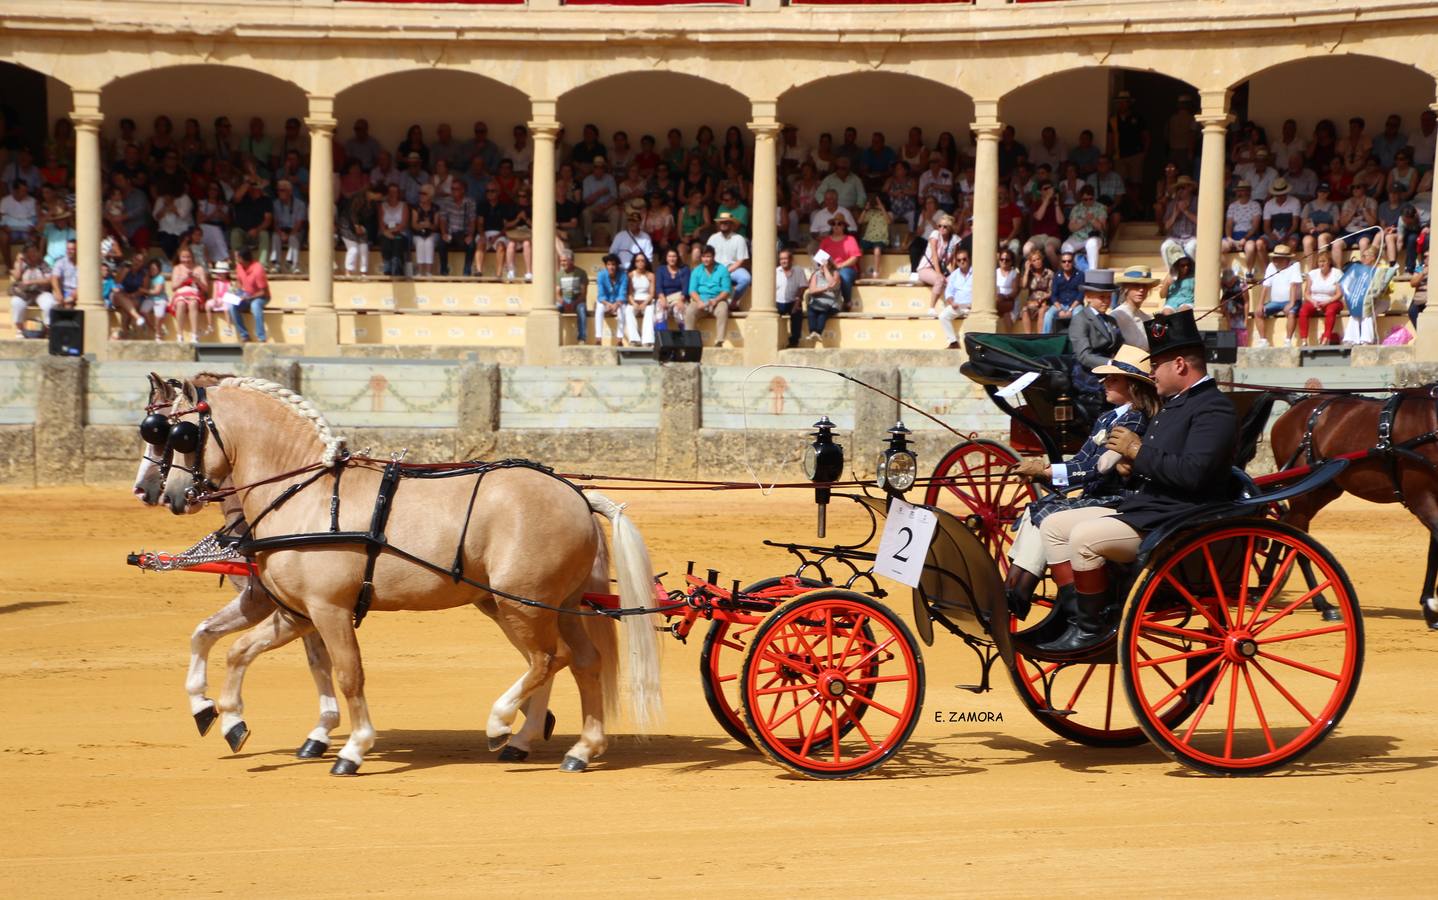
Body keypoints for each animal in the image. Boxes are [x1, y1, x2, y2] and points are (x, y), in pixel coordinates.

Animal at [150, 370, 658, 770]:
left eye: (181, 435)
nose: (167, 494)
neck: (305, 495)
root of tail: (576, 494)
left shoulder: (329, 609)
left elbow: (349, 674)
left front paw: (353, 748)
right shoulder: (296, 611)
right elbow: (239, 651)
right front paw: (228, 720)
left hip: (524, 605)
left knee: (550, 659)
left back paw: (501, 725)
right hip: (548, 605)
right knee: (582, 662)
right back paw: (577, 748)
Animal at [1271, 382, 1438, 623]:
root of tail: (1297, 405)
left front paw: (1429, 607)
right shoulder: (1420, 496)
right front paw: (1430, 606)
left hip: (1323, 490)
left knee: (1287, 525)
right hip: (1302, 494)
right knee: (1297, 536)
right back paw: (1322, 604)